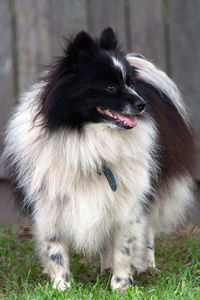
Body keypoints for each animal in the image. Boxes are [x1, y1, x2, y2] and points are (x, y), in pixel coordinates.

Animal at [3, 28, 198, 290]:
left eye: (130, 84)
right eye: (110, 88)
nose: (142, 104)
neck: (89, 138)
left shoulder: (128, 201)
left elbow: (124, 246)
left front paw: (121, 285)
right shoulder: (50, 202)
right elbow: (55, 248)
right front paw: (62, 287)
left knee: (147, 229)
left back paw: (148, 265)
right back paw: (105, 267)